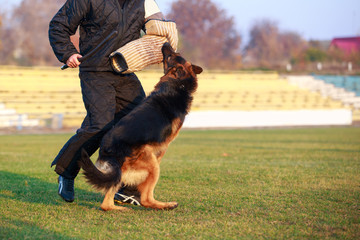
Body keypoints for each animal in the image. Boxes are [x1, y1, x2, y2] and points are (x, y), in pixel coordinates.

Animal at [79, 42, 202, 210]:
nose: (165, 43)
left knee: (109, 198)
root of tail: (107, 152)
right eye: (170, 55)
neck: (179, 85)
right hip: (152, 165)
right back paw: (164, 205)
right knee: (145, 199)